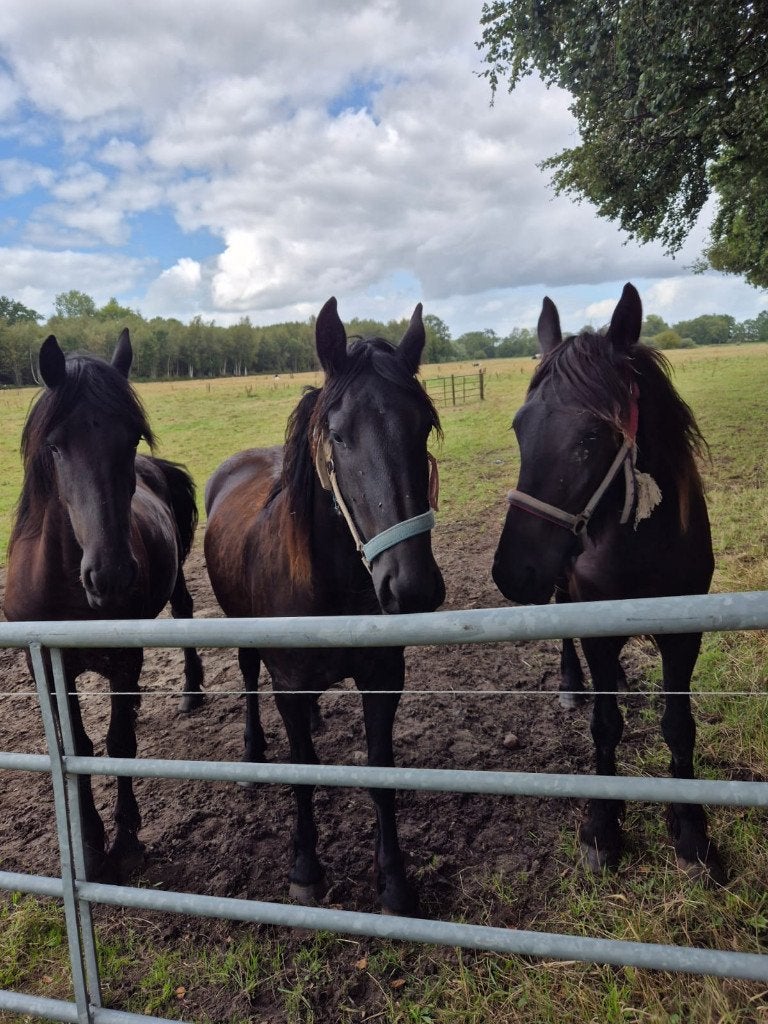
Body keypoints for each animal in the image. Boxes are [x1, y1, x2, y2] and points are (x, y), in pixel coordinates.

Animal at [4, 330, 204, 881]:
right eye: (55, 445)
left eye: (131, 438)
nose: (110, 576)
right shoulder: (50, 667)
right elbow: (78, 748)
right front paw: (91, 847)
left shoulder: (123, 657)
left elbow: (117, 745)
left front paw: (127, 840)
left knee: (184, 613)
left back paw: (191, 691)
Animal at [204, 297, 444, 914]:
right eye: (337, 435)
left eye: (424, 425)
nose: (411, 587)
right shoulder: (286, 684)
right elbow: (303, 773)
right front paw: (306, 869)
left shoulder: (384, 677)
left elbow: (381, 770)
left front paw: (394, 883)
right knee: (248, 678)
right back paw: (252, 755)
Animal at [492, 283, 724, 882]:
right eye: (519, 427)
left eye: (593, 434)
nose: (512, 571)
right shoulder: (593, 623)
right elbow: (604, 725)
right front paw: (602, 826)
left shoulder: (685, 635)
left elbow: (678, 725)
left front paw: (692, 831)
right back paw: (574, 683)